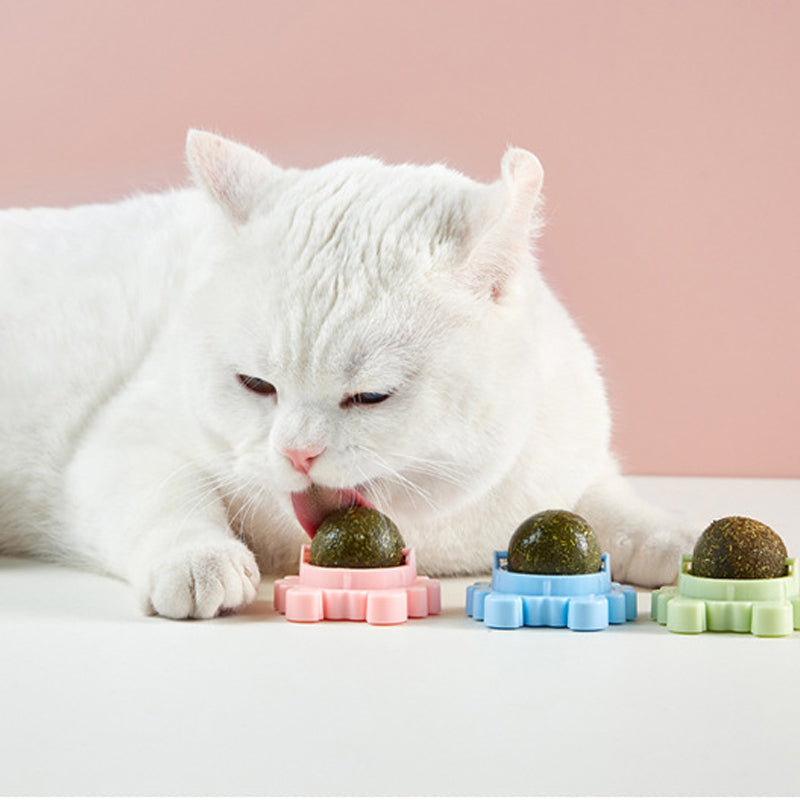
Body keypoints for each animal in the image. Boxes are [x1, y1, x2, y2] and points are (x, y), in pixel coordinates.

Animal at [0, 131, 696, 620]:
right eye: (257, 385)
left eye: (370, 397)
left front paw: (674, 538)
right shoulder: (125, 439)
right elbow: (171, 499)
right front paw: (198, 559)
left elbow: (608, 502)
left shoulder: (565, 460)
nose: (297, 453)